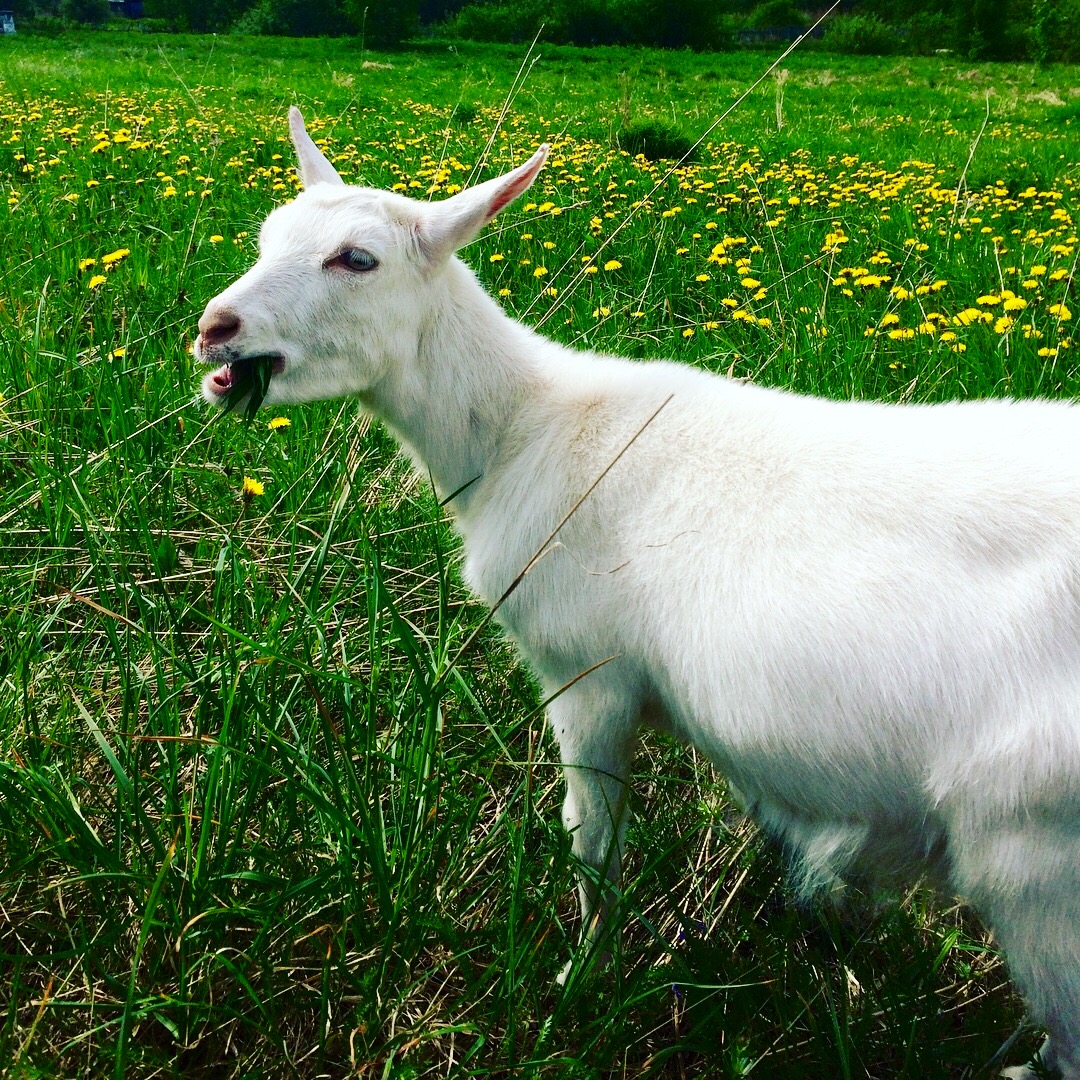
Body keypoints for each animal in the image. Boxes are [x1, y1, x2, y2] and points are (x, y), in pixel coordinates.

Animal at [198, 109, 1080, 1080]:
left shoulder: (585, 671)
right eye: (268, 237)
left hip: (1036, 854)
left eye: (358, 259)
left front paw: (579, 981)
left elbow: (590, 836)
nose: (215, 329)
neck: (522, 428)